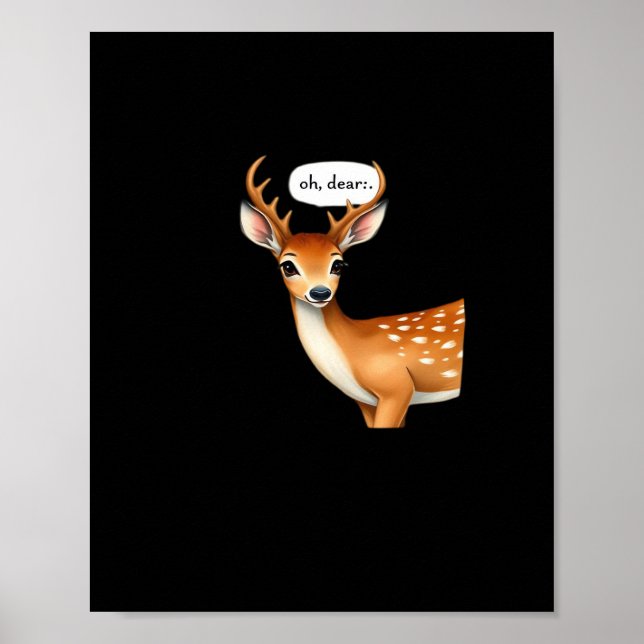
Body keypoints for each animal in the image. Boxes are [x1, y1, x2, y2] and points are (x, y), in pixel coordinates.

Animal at [240, 156, 465, 428]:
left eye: (338, 264)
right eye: (288, 266)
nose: (320, 293)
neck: (355, 352)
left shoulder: (397, 387)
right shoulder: (366, 401)